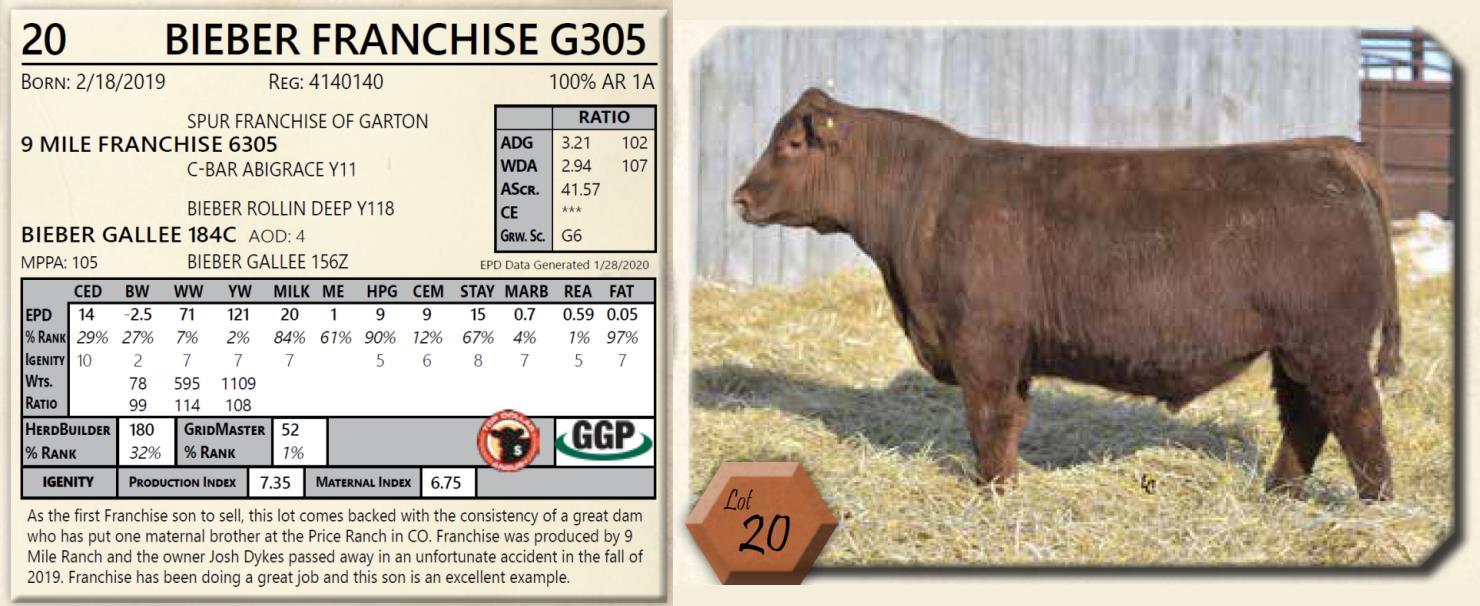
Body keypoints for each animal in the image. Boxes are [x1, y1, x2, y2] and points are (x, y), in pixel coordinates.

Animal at [731, 88, 1402, 501]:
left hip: (1329, 345)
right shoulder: (1010, 354)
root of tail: (1329, 149)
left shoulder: (983, 345)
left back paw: (1374, 507)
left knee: (1359, 420)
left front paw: (994, 495)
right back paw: (1278, 495)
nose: (739, 198)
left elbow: (989, 423)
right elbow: (1007, 425)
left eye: (792, 144)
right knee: (1306, 419)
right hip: (1295, 350)